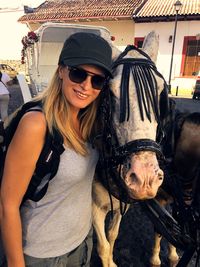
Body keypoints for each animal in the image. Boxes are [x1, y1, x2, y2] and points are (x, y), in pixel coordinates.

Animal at [92, 32, 169, 267]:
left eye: (160, 92)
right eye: (110, 92)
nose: (145, 179)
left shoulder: (120, 206)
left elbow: (112, 236)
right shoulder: (93, 208)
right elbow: (103, 247)